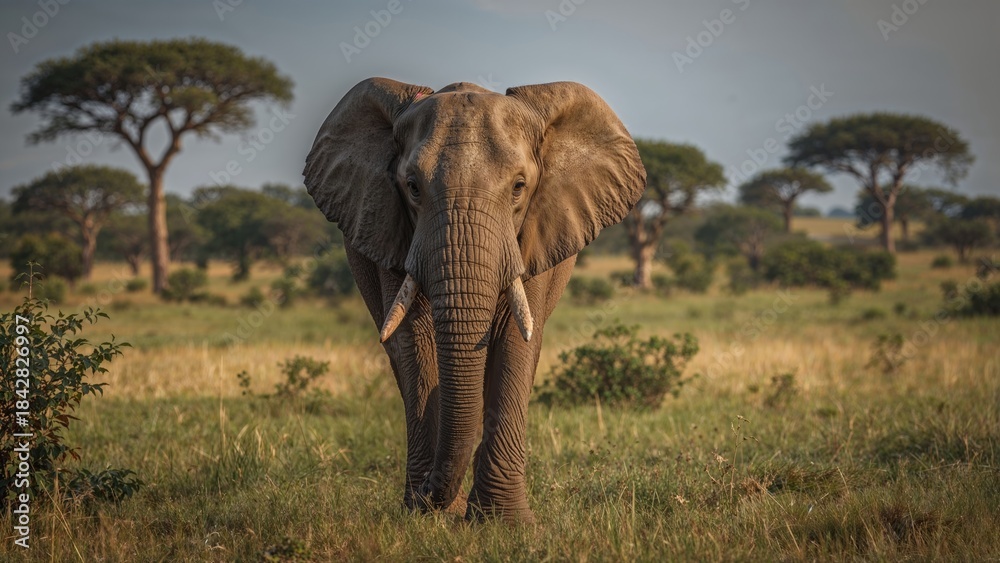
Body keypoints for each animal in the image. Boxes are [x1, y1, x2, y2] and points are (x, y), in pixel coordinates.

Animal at [304, 77, 645, 522]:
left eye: (519, 187)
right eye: (412, 187)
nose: (430, 497)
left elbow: (516, 339)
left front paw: (505, 521)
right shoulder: (388, 227)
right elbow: (415, 341)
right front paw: (431, 516)